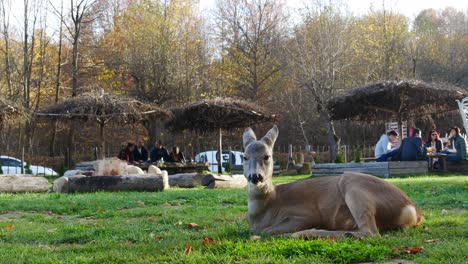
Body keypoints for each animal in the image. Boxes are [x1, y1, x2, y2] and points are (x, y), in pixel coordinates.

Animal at [243, 126, 422, 239]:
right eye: (245, 156)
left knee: (371, 233)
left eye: (267, 156)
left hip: (353, 186)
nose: (255, 176)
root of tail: (414, 212)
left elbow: (268, 231)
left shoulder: (306, 214)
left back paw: (307, 233)